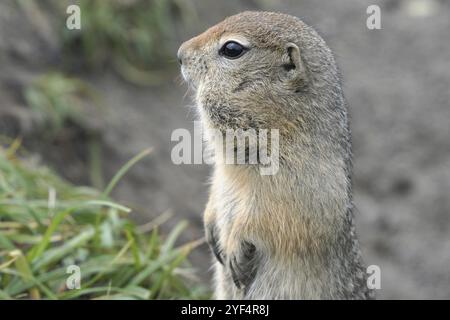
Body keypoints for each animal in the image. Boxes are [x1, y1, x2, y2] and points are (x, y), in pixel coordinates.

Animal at [178, 10, 374, 300]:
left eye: (232, 49)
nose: (180, 53)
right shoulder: (222, 175)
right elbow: (215, 195)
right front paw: (210, 228)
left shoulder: (297, 184)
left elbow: (268, 217)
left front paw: (235, 250)